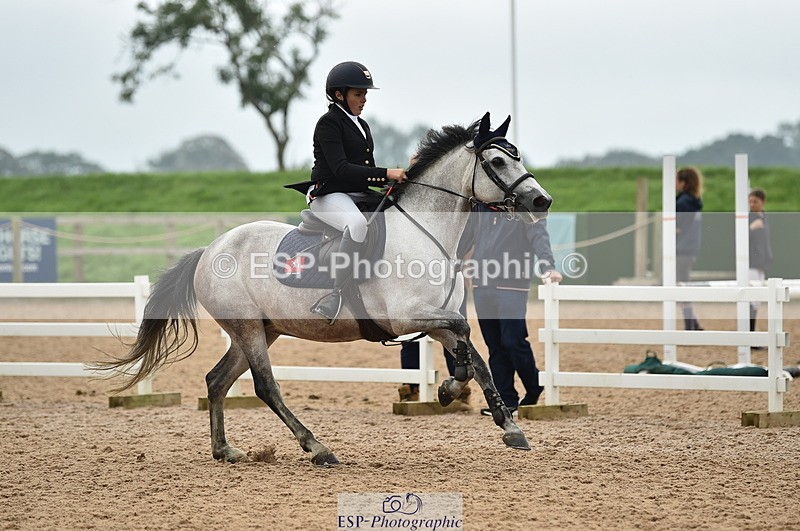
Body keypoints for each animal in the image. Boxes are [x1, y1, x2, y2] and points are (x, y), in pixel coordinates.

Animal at [99, 112, 552, 466]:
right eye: (497, 160)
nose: (541, 201)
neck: (426, 234)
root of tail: (210, 249)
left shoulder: (436, 318)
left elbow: (474, 355)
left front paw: (496, 419)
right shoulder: (405, 318)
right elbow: (467, 337)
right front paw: (458, 393)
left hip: (261, 330)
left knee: (217, 380)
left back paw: (225, 450)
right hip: (248, 329)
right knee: (265, 387)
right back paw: (318, 448)